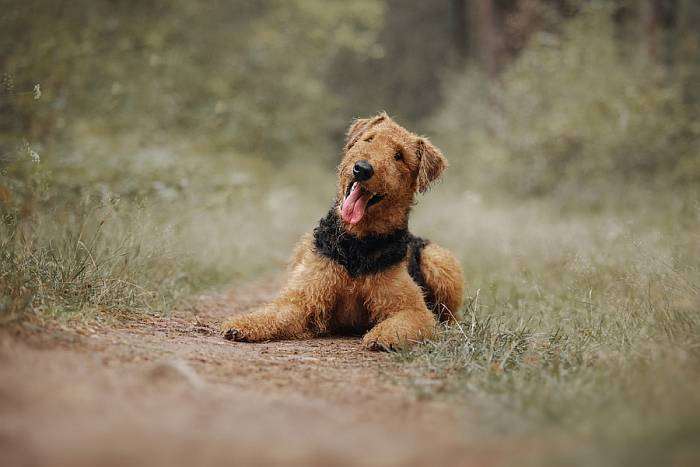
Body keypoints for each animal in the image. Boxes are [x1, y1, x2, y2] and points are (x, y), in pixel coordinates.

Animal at [221, 113, 464, 352]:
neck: (357, 240)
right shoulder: (304, 297)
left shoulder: (411, 308)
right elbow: (275, 312)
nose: (362, 169)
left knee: (450, 315)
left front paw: (383, 337)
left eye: (399, 155)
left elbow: (408, 319)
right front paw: (241, 325)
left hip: (439, 260)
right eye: (369, 139)